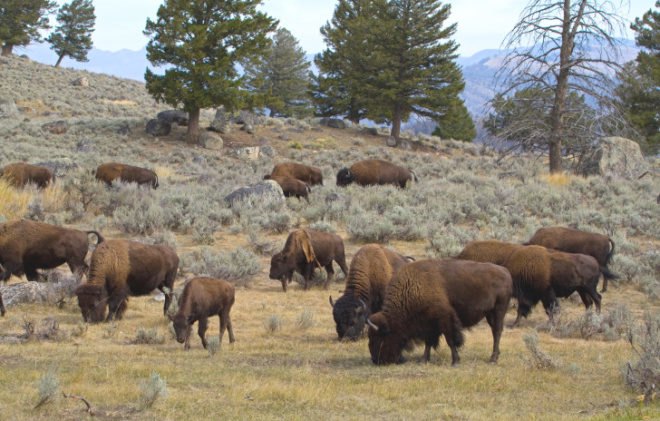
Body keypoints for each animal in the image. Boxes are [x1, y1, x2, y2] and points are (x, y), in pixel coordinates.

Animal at [367, 259, 512, 365]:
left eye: (380, 337)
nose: (376, 360)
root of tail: (505, 271)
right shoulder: (429, 324)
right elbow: (428, 342)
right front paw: (423, 360)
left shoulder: (445, 319)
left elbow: (450, 340)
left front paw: (455, 361)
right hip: (490, 314)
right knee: (495, 332)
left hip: (499, 310)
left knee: (497, 332)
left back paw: (493, 359)